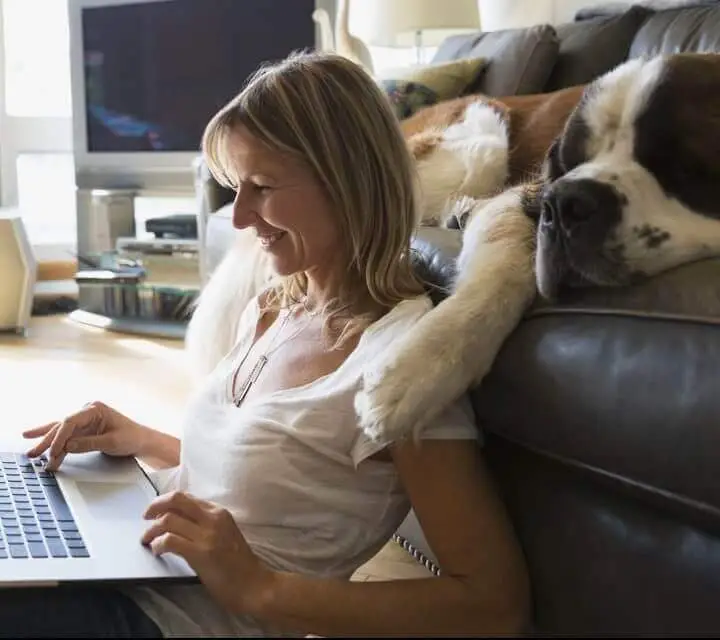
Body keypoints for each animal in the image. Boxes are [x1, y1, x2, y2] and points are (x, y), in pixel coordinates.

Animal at [358, 52, 720, 442]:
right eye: (567, 164)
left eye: (684, 166)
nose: (562, 203)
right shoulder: (520, 196)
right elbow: (503, 269)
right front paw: (416, 369)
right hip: (483, 141)